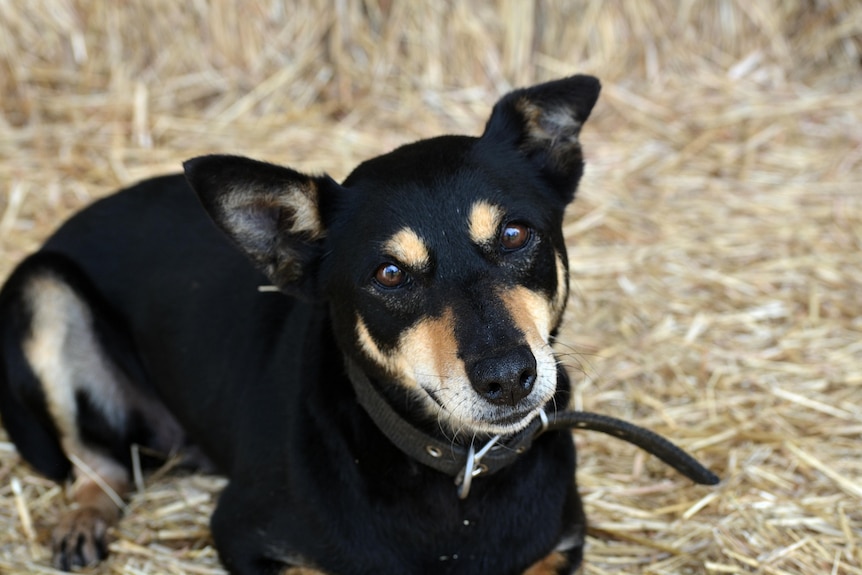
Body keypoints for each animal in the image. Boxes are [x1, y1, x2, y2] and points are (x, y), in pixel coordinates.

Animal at [0, 75, 640, 572]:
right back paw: (82, 521)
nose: (508, 378)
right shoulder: (245, 536)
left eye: (513, 234)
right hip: (41, 286)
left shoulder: (562, 547)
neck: (454, 471)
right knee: (98, 461)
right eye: (389, 274)